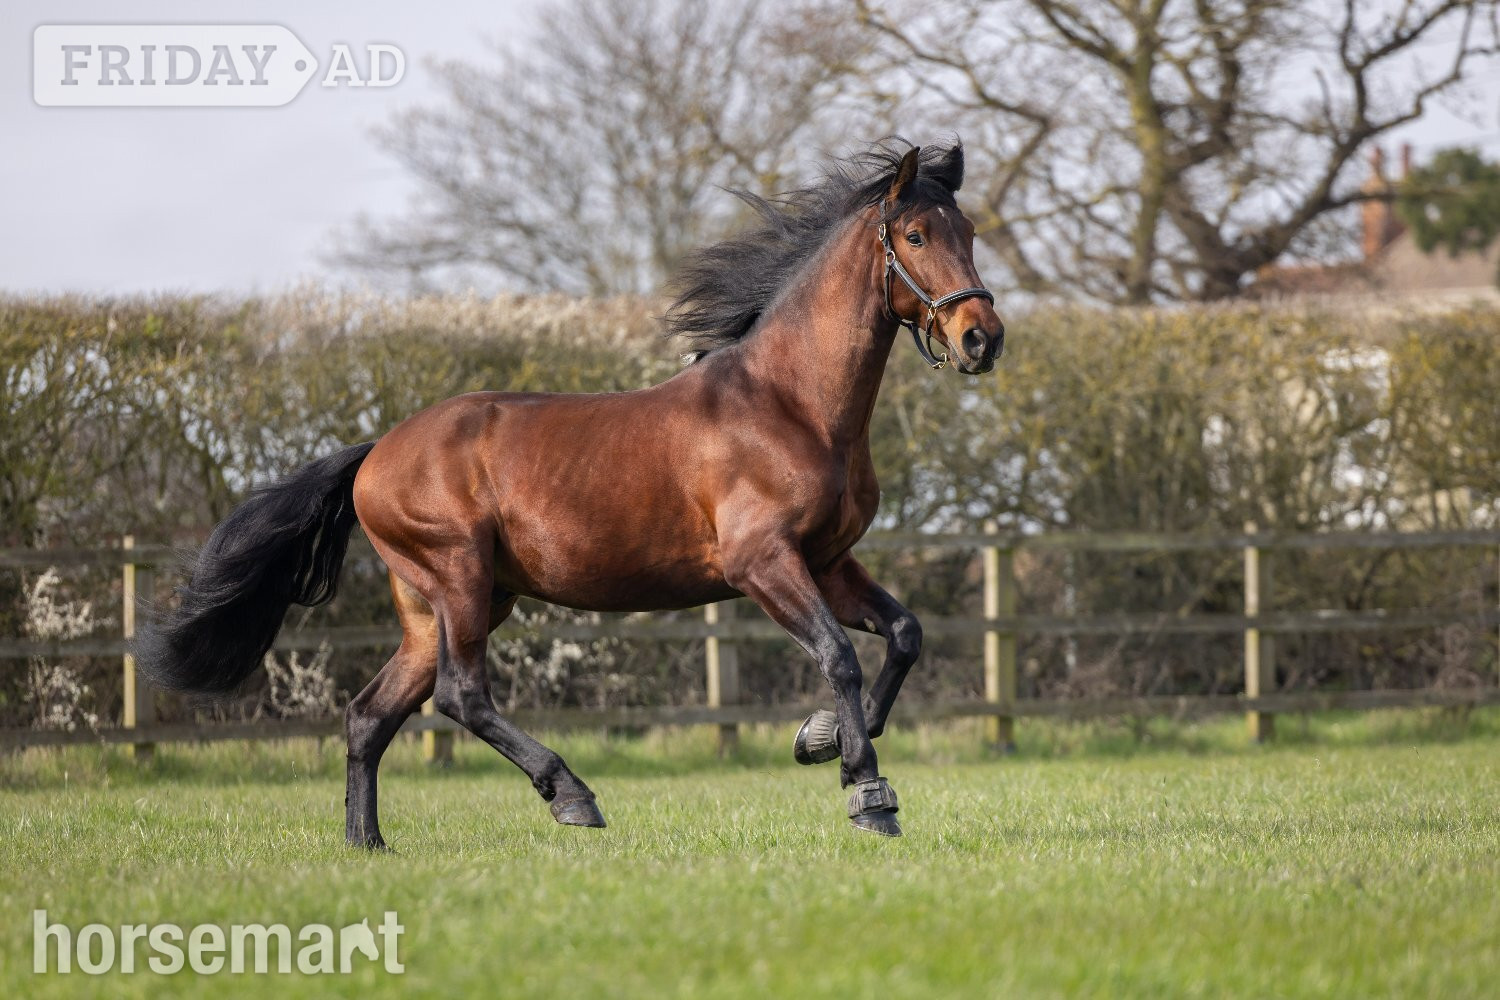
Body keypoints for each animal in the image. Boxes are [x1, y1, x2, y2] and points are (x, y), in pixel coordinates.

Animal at [137, 140, 1005, 844]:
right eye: (917, 237)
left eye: (968, 234)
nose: (982, 339)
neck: (792, 405)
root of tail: (375, 455)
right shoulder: (763, 563)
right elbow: (838, 655)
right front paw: (867, 791)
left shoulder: (828, 560)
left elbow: (903, 635)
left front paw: (819, 740)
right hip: (459, 579)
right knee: (461, 695)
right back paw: (572, 797)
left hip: (440, 605)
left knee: (370, 715)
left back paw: (368, 845)